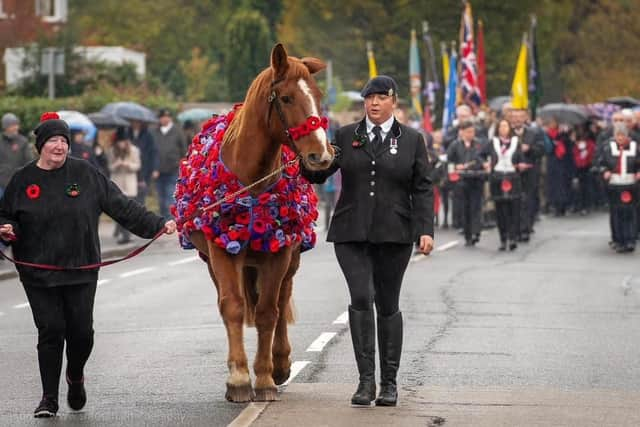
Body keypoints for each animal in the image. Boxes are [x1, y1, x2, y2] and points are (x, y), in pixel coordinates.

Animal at [180, 45, 330, 402]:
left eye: (318, 96)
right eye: (286, 98)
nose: (321, 155)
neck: (249, 183)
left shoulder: (278, 254)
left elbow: (267, 312)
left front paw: (264, 378)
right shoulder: (222, 252)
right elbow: (233, 307)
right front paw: (237, 378)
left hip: (290, 257)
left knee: (282, 299)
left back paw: (281, 362)